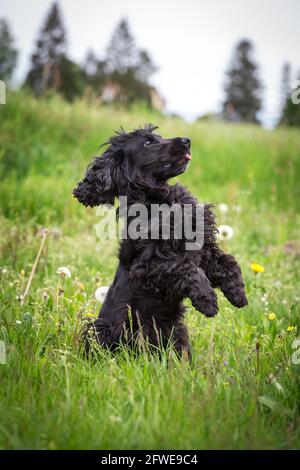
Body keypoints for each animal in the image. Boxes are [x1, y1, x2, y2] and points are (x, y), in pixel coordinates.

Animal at [74, 124, 247, 356]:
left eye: (158, 136)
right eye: (148, 142)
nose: (187, 140)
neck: (159, 198)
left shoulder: (204, 252)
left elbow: (229, 263)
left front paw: (238, 293)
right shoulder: (149, 265)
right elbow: (188, 269)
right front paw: (208, 301)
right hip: (103, 328)